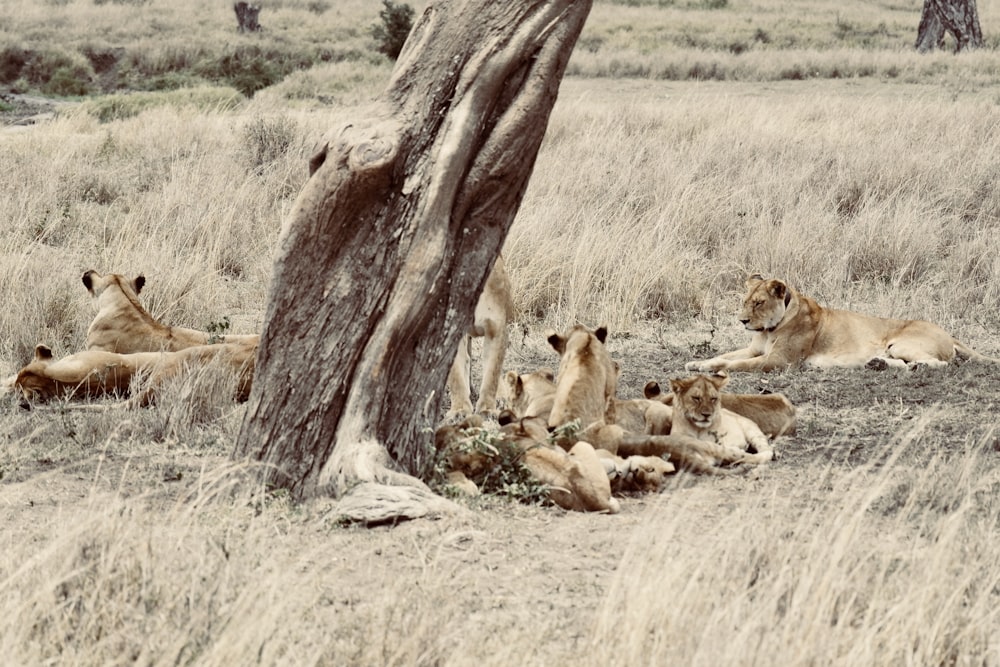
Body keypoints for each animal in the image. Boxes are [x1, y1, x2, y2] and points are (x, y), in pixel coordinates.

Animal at [688, 274, 1000, 374]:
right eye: (745, 301)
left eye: (759, 303)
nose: (742, 321)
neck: (769, 330)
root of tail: (948, 333)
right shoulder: (755, 350)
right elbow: (725, 355)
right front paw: (698, 363)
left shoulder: (778, 361)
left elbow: (735, 363)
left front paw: (713, 370)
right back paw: (878, 364)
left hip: (903, 343)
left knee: (939, 363)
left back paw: (917, 367)